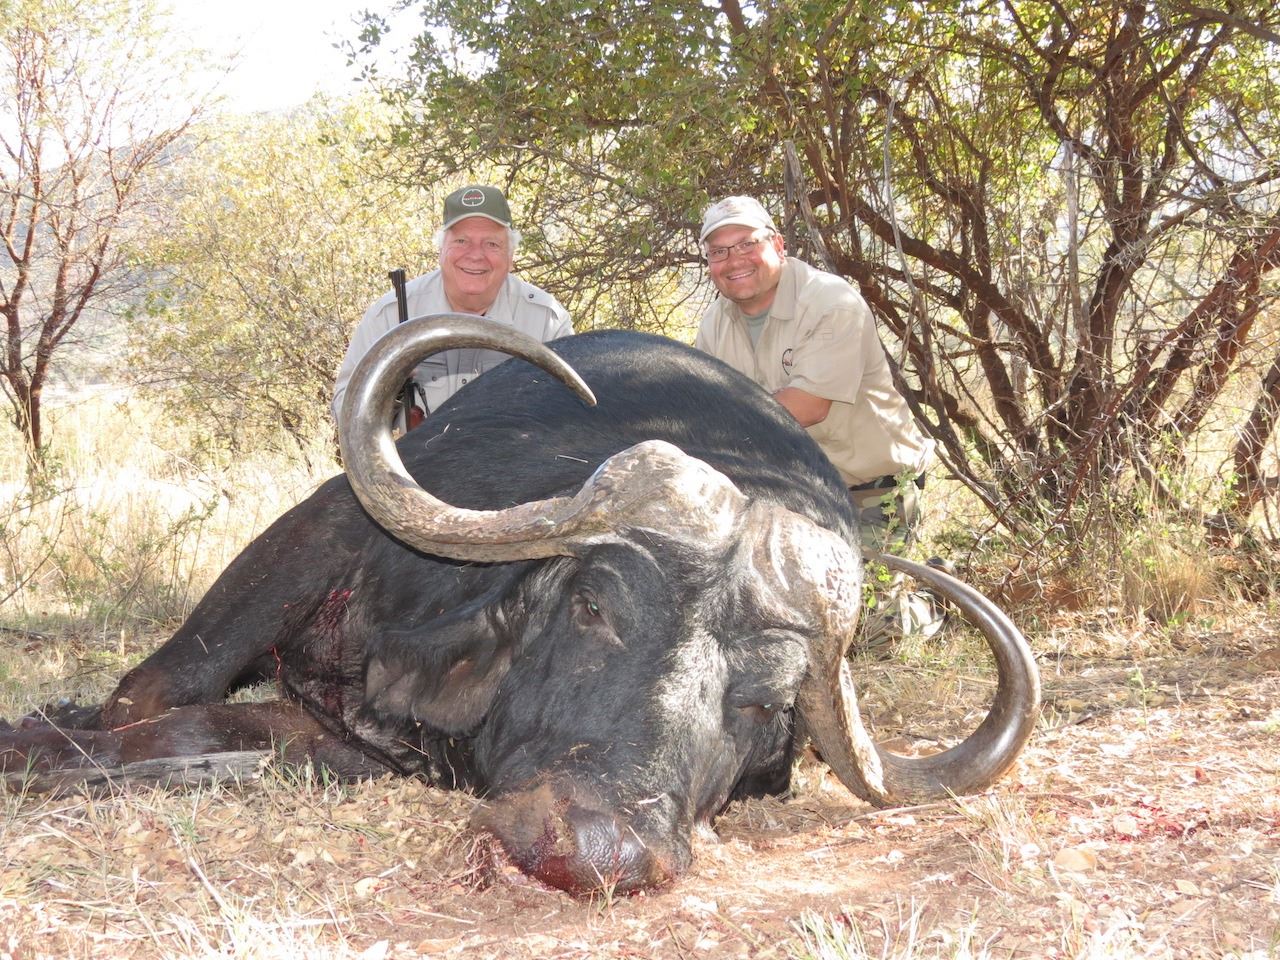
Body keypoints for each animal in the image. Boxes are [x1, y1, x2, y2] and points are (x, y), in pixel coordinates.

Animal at [1, 316, 1040, 897]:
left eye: (765, 703)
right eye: (593, 607)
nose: (598, 850)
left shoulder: (361, 749)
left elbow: (203, 739)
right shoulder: (319, 533)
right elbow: (148, 697)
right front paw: (39, 741)